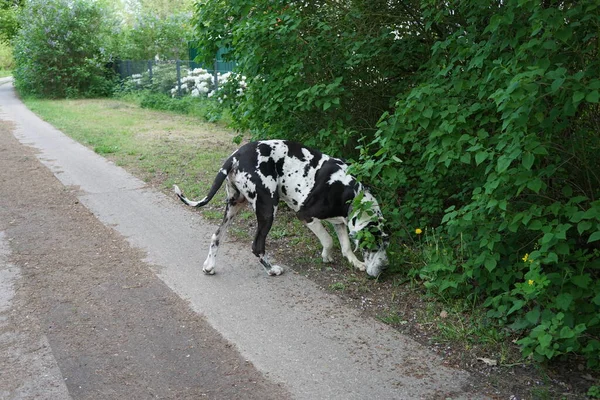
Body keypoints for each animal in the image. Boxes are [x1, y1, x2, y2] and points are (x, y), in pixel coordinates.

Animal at [173, 141, 390, 278]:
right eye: (373, 246)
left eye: (386, 246)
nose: (384, 268)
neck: (350, 193)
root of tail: (235, 156)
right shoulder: (305, 215)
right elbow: (328, 240)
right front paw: (326, 255)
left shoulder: (339, 221)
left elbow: (345, 245)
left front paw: (355, 262)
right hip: (268, 209)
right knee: (257, 246)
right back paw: (271, 270)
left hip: (234, 206)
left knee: (216, 236)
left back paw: (209, 266)